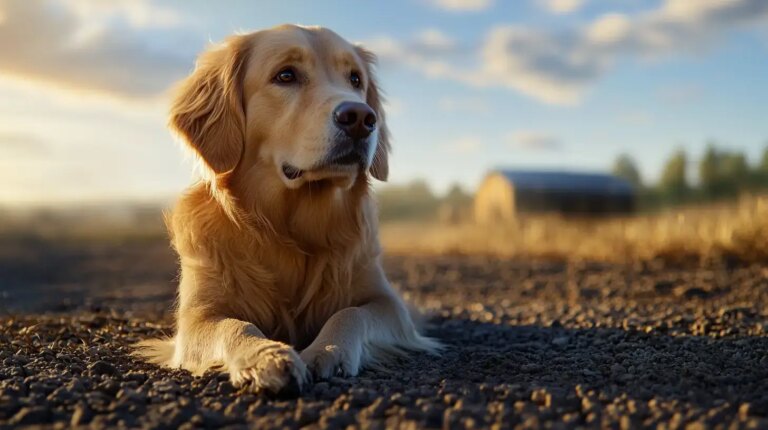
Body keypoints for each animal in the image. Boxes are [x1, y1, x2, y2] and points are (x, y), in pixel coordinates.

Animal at [135, 22, 440, 394]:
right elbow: (235, 325)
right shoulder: (198, 317)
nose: (360, 117)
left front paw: (328, 349)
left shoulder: (388, 304)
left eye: (355, 79)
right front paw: (266, 356)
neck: (291, 227)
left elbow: (350, 313)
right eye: (286, 75)